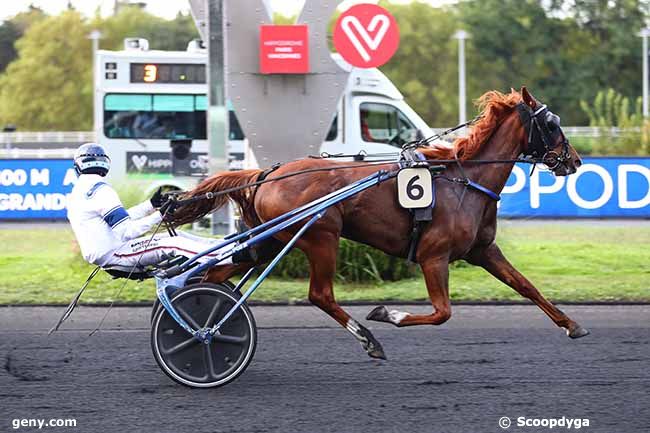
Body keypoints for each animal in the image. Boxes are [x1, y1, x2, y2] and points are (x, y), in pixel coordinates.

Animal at [172, 88, 588, 358]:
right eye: (552, 124)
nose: (575, 160)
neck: (465, 180)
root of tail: (266, 174)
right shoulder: (433, 257)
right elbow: (442, 313)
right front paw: (388, 313)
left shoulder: (484, 251)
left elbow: (526, 286)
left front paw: (571, 325)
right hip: (321, 236)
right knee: (320, 295)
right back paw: (368, 337)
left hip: (270, 241)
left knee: (213, 276)